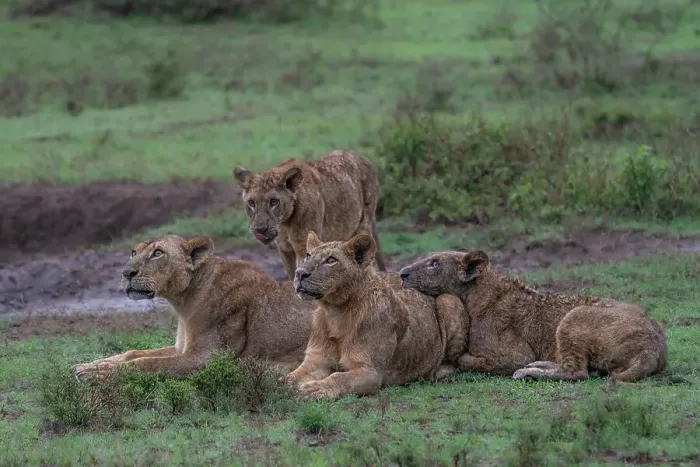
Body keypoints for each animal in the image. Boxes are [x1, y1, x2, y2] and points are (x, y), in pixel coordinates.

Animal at [73, 235, 315, 381]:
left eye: (158, 253)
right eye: (134, 252)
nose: (126, 273)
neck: (182, 302)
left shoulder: (205, 358)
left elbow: (147, 362)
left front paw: (96, 373)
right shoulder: (181, 348)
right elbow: (133, 353)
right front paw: (90, 365)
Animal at [233, 149, 386, 281]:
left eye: (274, 201)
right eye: (251, 203)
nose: (260, 229)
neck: (285, 223)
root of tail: (363, 158)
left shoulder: (303, 248)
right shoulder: (284, 249)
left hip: (364, 225)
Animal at [286, 232, 468, 400]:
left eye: (331, 260)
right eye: (308, 256)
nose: (299, 273)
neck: (335, 312)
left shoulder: (370, 372)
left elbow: (339, 377)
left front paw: (315, 389)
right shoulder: (316, 359)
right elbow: (291, 377)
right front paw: (283, 385)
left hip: (448, 299)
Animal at [399, 249, 668, 382]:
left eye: (434, 263)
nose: (401, 273)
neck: (473, 295)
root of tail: (655, 348)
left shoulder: (516, 354)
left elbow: (467, 360)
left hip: (574, 314)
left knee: (577, 372)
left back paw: (528, 372)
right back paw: (539, 365)